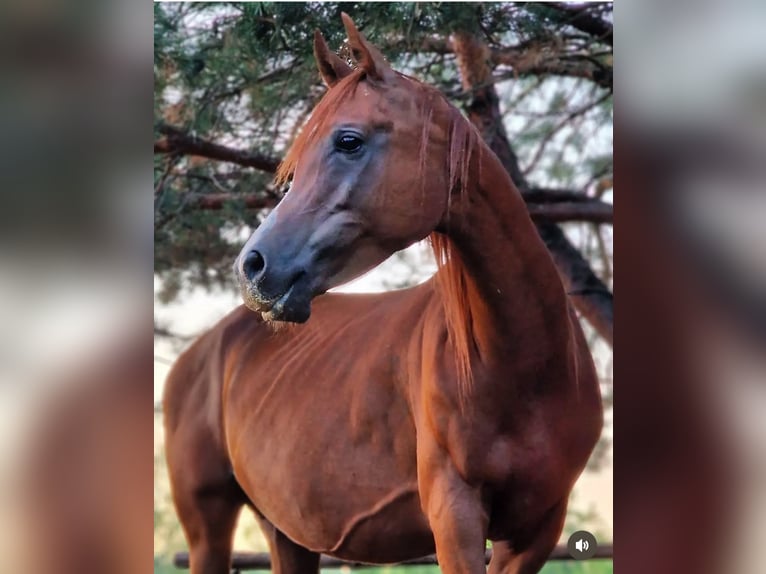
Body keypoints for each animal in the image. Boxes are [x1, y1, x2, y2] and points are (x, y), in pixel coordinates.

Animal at [163, 14, 602, 574]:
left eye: (349, 140)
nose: (253, 268)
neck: (526, 369)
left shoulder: (537, 530)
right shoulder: (455, 517)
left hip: (285, 531)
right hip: (208, 529)